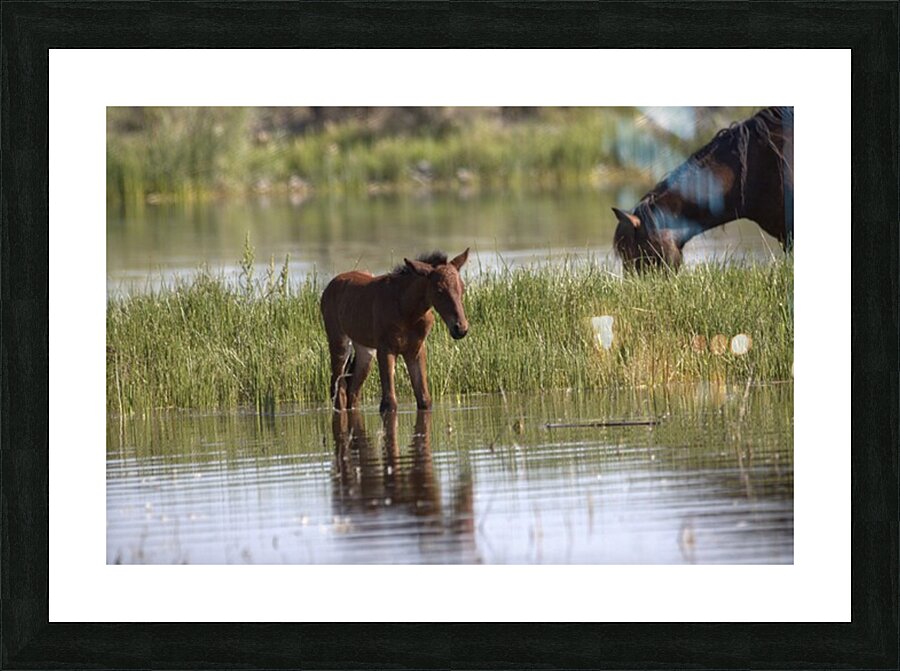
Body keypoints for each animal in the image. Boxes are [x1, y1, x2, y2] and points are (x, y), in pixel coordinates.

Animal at [320, 248, 470, 413]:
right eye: (439, 290)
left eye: (462, 287)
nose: (460, 328)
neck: (408, 311)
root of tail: (328, 288)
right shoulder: (386, 349)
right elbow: (389, 403)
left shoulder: (416, 350)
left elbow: (425, 400)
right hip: (339, 342)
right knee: (338, 386)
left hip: (365, 350)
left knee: (352, 388)